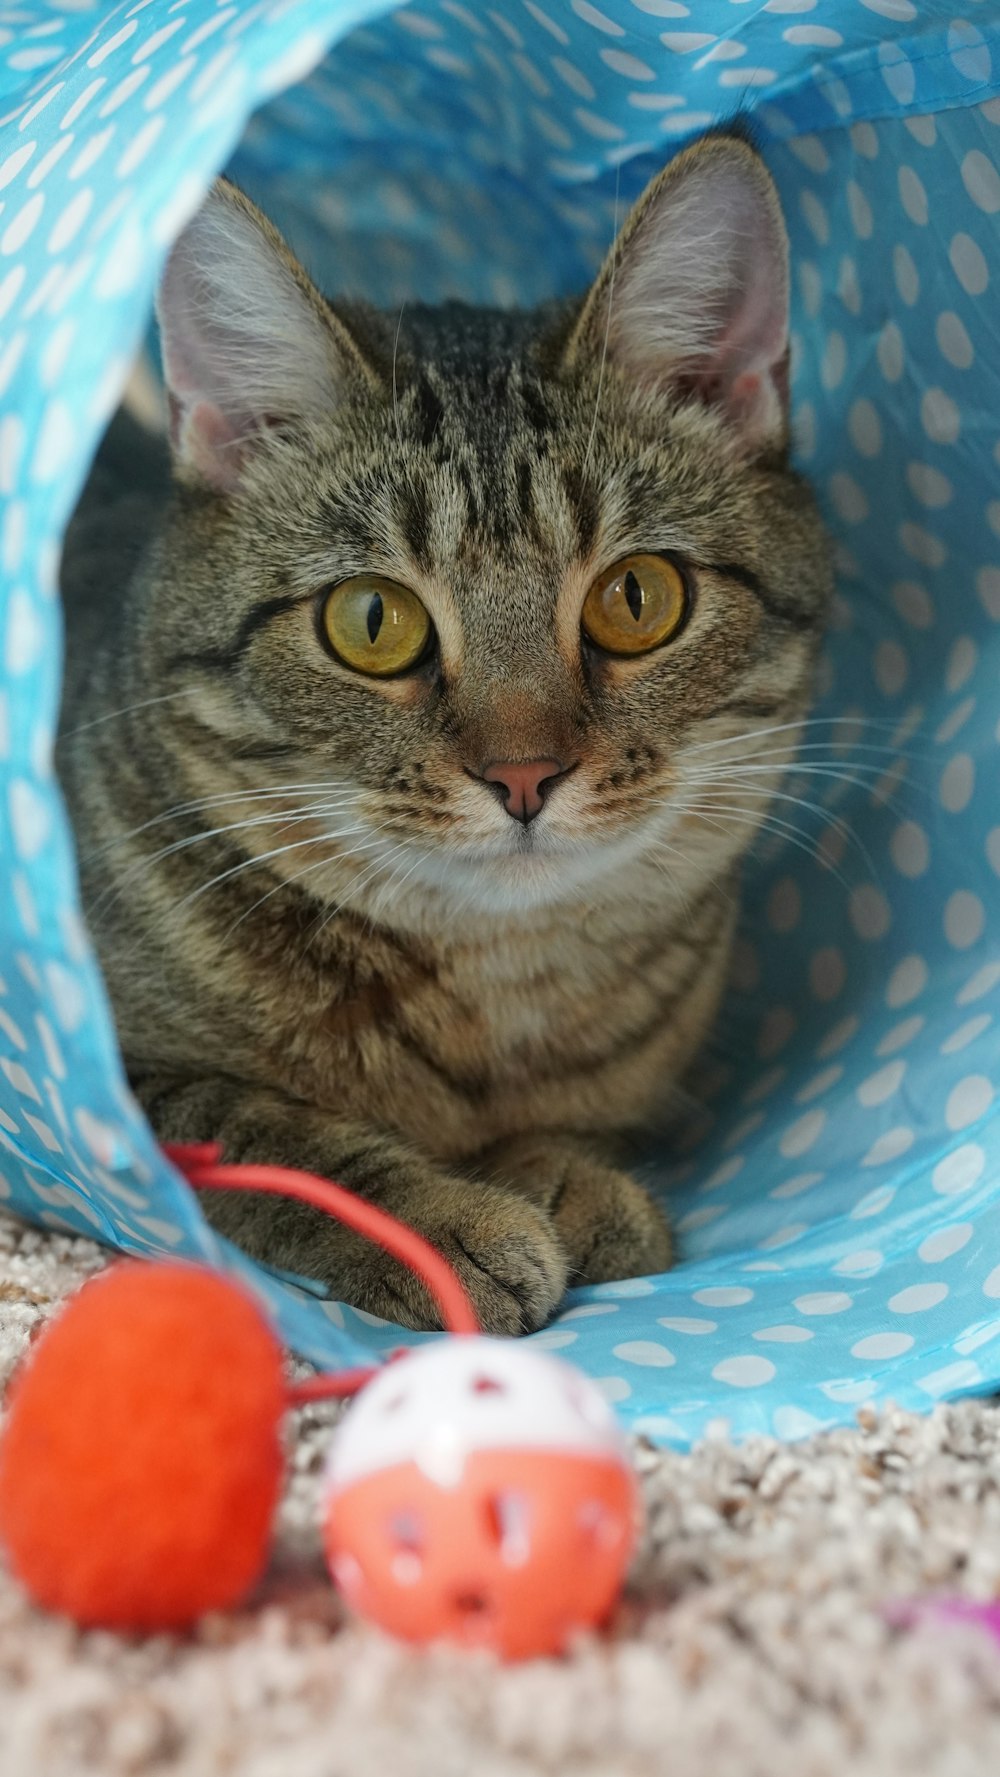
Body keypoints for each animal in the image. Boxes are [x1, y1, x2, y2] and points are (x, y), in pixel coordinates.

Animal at [58, 128, 834, 1336]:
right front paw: (445, 1221)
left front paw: (566, 1174)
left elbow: (567, 1124)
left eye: (637, 598)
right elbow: (272, 1132)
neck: (495, 990)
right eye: (372, 620)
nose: (524, 774)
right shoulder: (107, 1091)